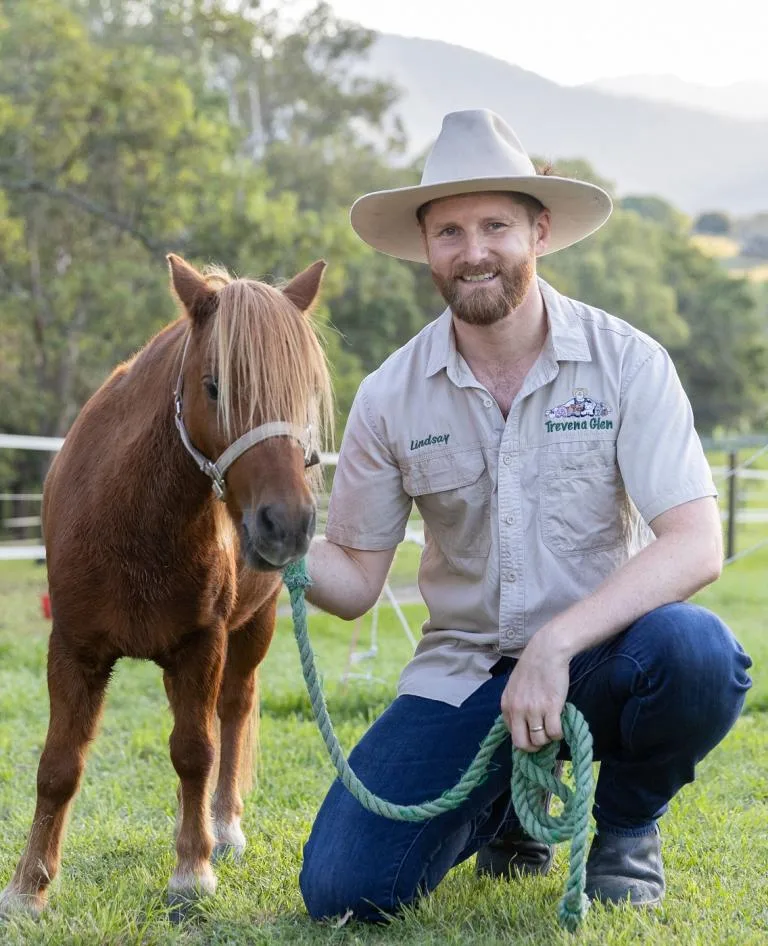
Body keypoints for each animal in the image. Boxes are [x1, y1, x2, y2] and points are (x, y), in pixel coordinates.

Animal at [0, 253, 332, 916]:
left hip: (253, 630)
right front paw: (28, 887)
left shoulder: (202, 646)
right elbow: (58, 765)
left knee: (233, 713)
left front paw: (191, 871)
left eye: (303, 393)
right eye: (214, 386)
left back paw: (222, 828)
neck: (131, 521)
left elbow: (194, 752)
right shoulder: (72, 648)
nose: (287, 525)